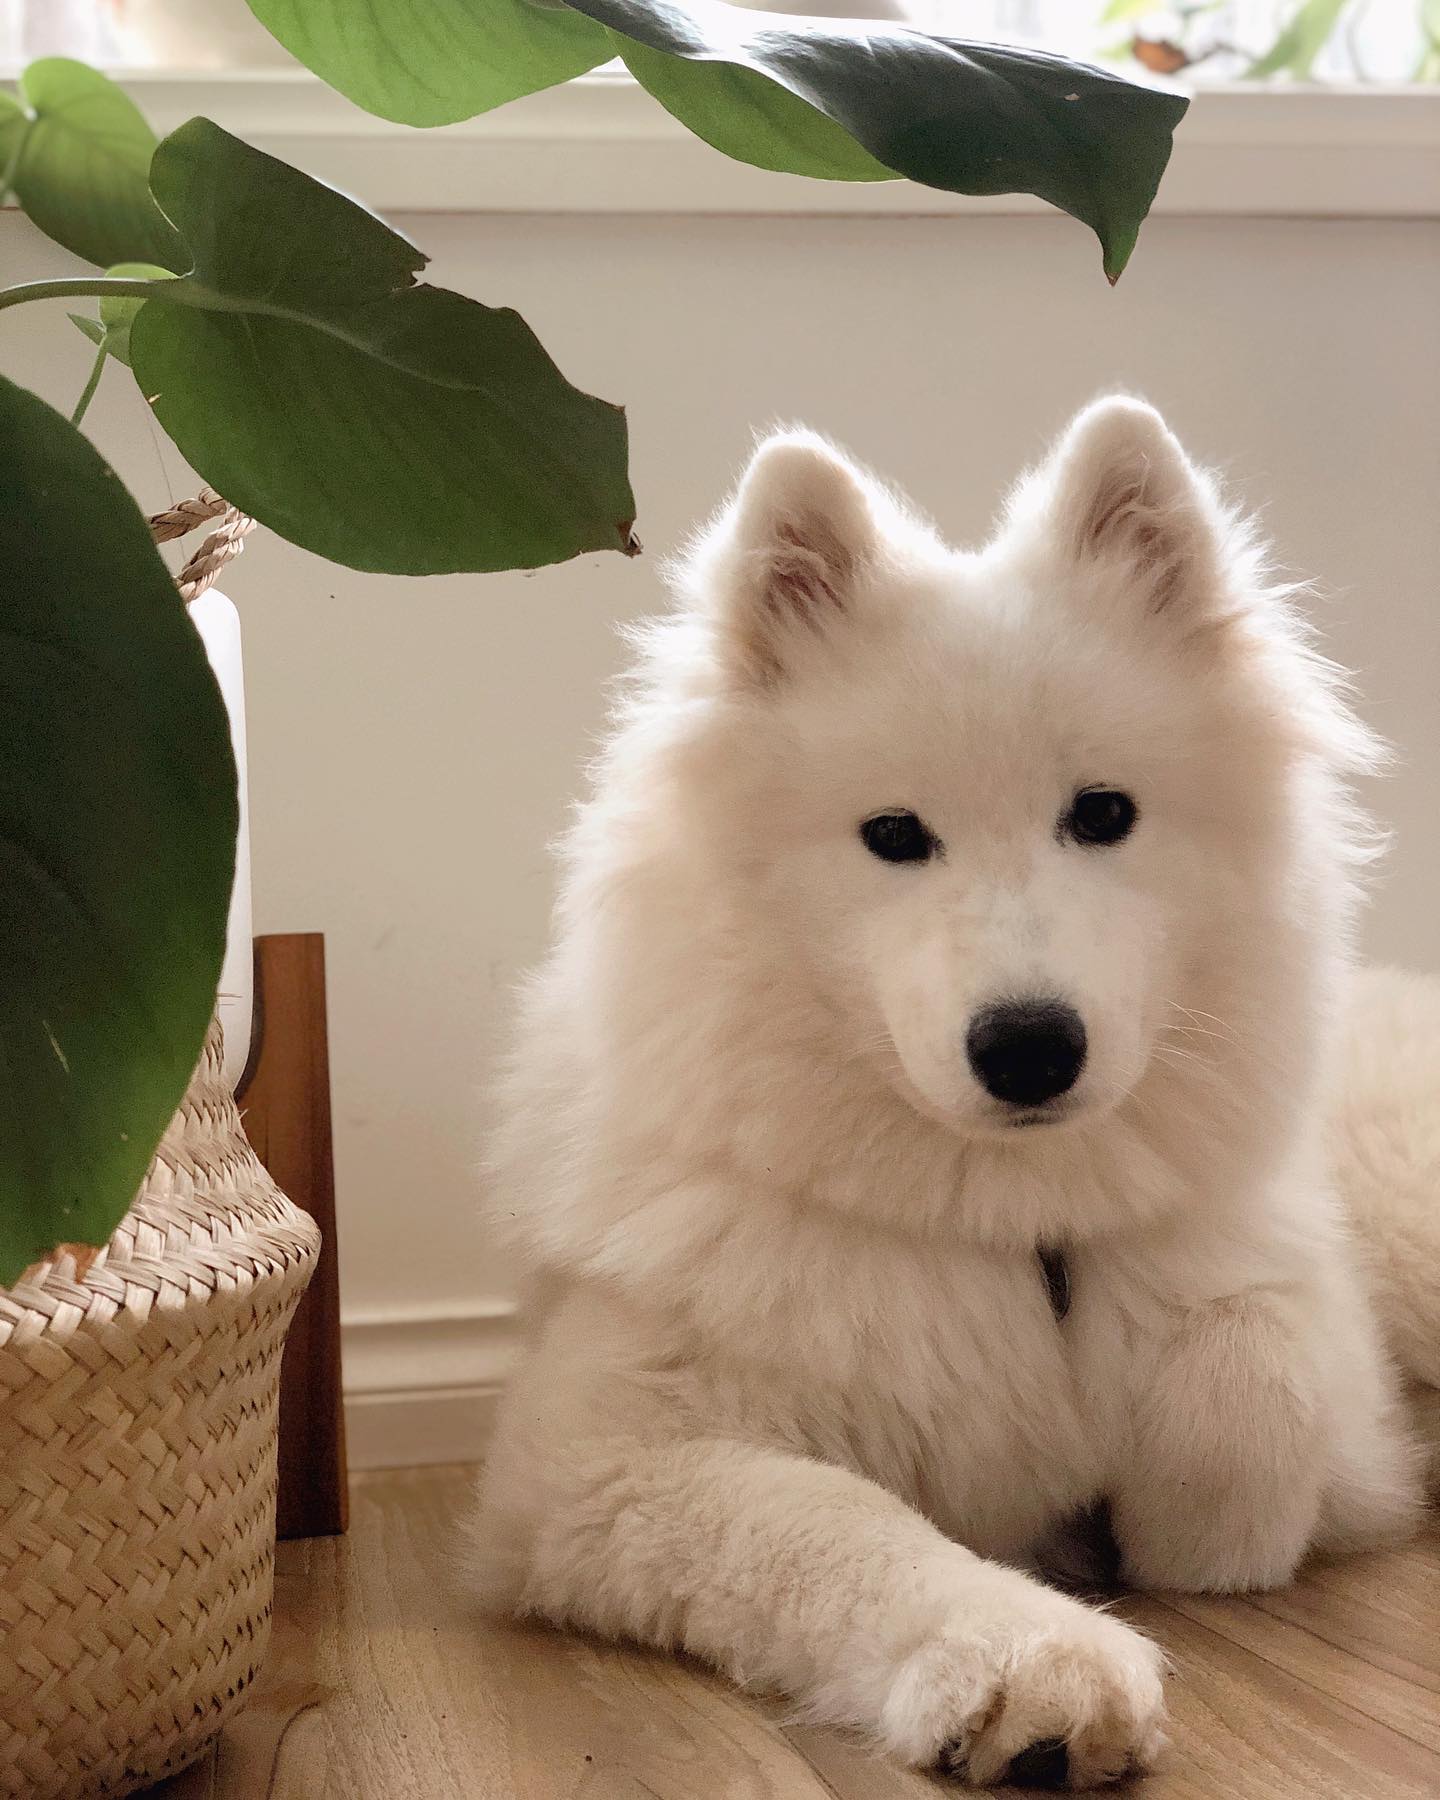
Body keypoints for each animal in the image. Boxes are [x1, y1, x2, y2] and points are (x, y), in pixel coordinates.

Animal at [468, 401, 1432, 1792]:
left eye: (1103, 813)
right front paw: (1035, 1661)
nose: (1029, 1049)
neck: (1008, 1226)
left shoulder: (1327, 1378)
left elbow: (1253, 1383)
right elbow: (840, 1522)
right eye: (893, 836)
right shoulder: (591, 1462)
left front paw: (1180, 1523)